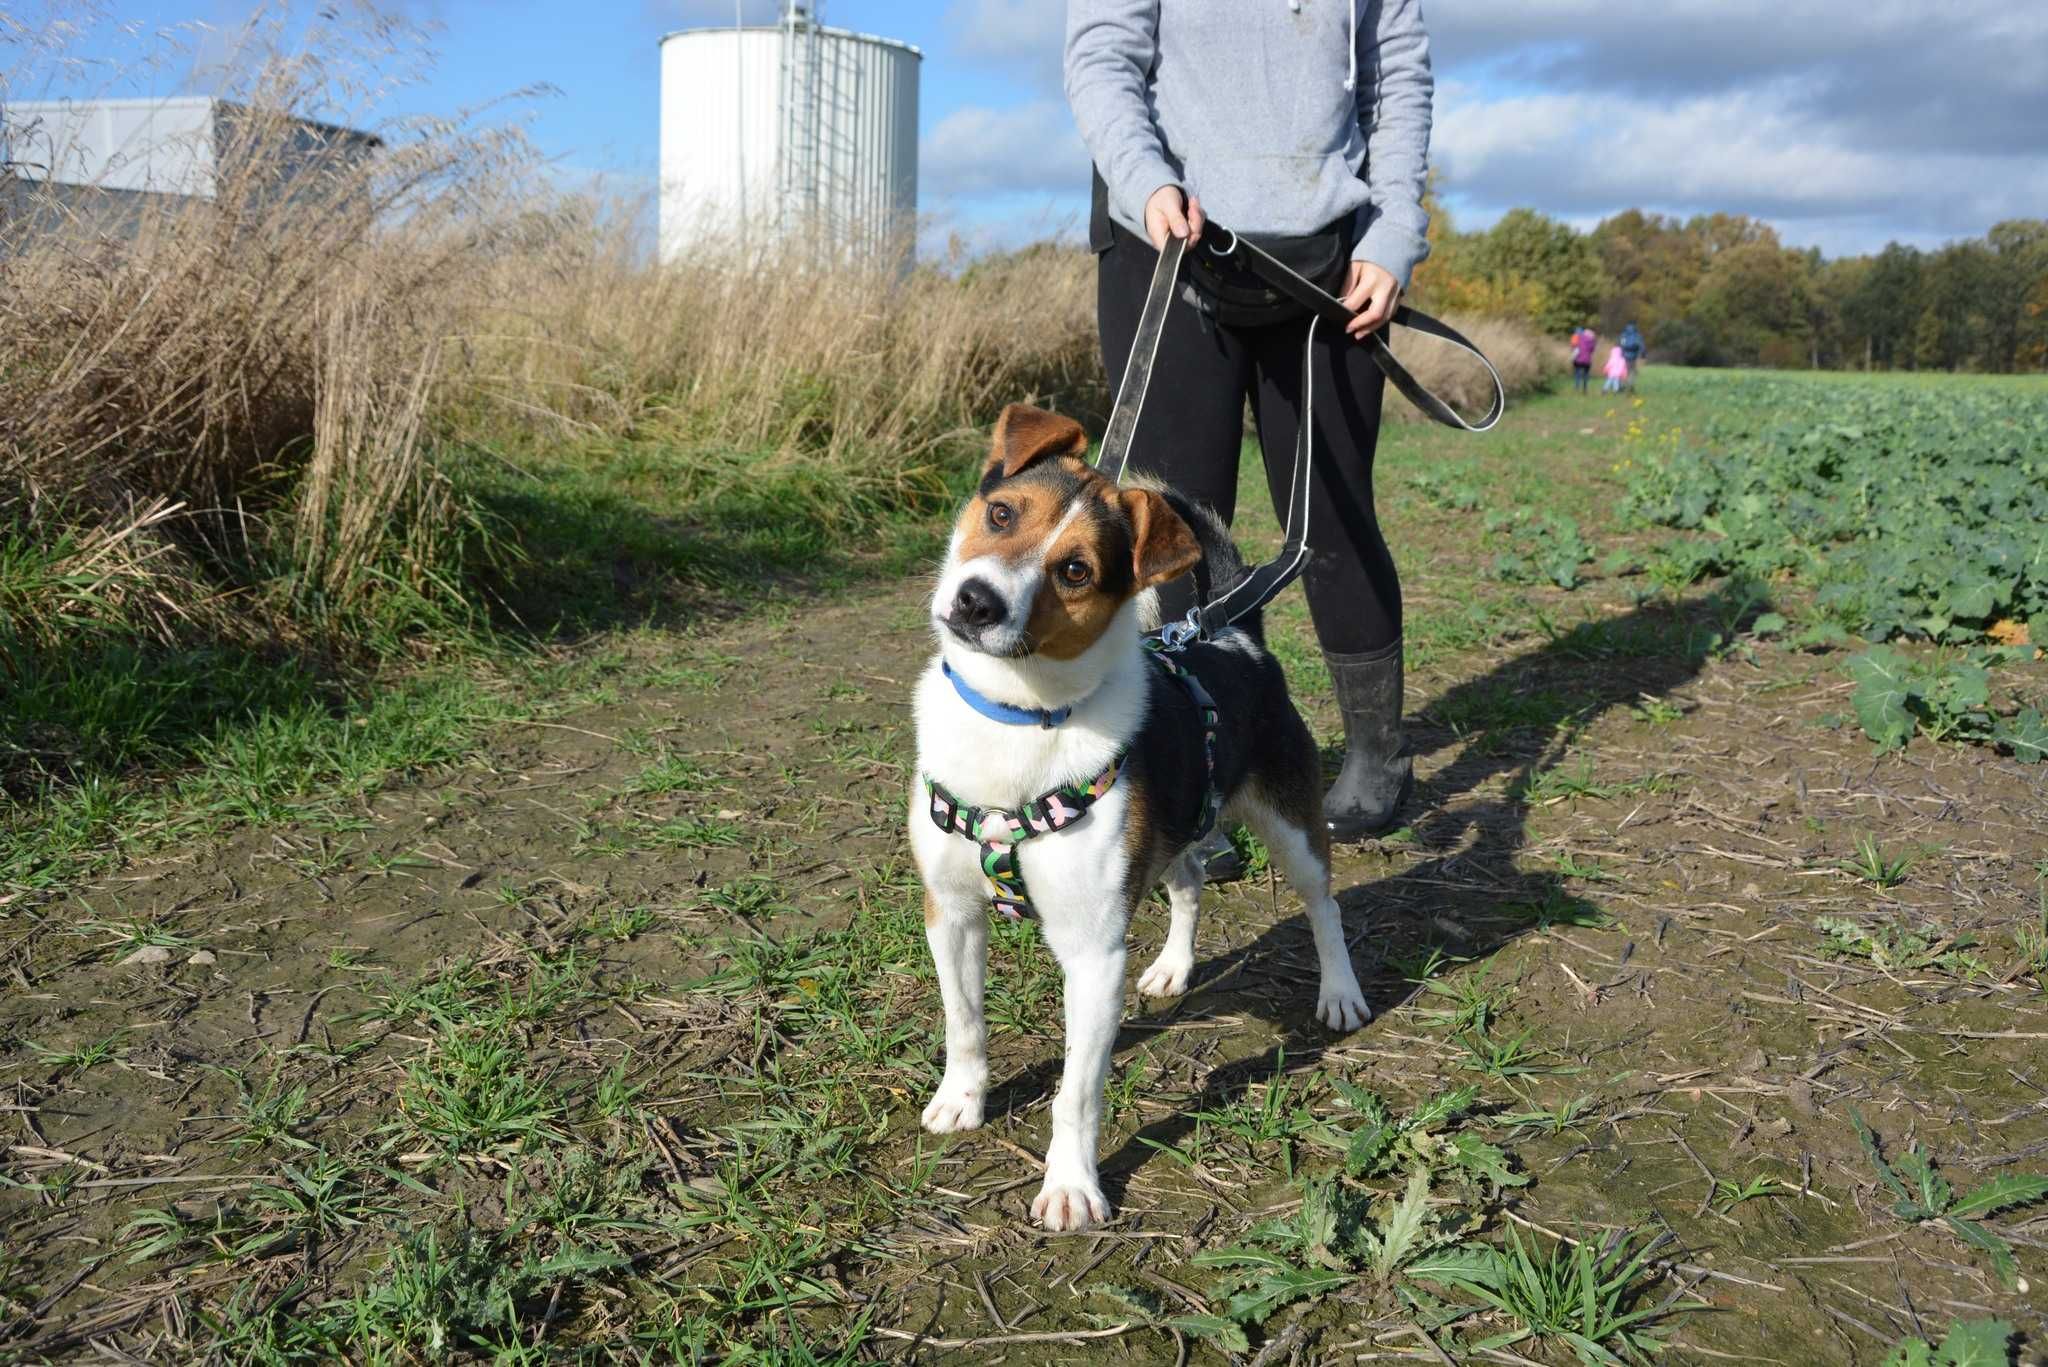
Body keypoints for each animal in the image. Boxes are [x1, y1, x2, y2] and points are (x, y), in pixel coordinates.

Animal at [905, 403, 1368, 1229]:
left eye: (1076, 571)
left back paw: (1340, 992)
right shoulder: (950, 911)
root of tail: (1232, 635)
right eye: (1001, 513)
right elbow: (964, 1021)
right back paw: (1176, 965)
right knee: (1188, 883)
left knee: (1323, 904)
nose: (977, 600)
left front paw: (1070, 1184)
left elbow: (1077, 1092)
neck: (1016, 720)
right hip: (1179, 827)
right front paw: (962, 1097)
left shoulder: (1092, 954)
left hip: (1291, 824)